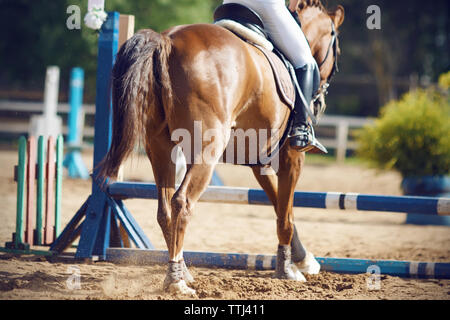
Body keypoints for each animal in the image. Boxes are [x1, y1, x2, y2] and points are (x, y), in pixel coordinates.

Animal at [98, 0, 344, 296]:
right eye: (335, 45)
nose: (320, 102)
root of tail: (166, 41)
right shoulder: (291, 156)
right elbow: (285, 214)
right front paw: (288, 270)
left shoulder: (259, 161)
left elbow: (281, 207)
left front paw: (302, 259)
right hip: (207, 150)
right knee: (182, 203)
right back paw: (176, 281)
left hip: (161, 147)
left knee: (165, 209)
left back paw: (183, 270)